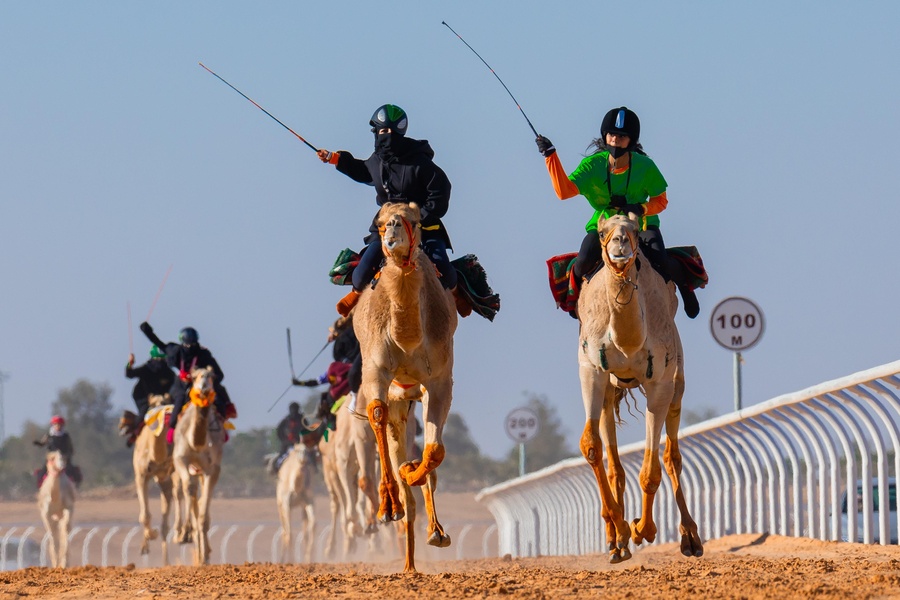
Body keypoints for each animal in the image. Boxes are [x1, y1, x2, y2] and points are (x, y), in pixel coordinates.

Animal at [171, 366, 225, 565]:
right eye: (194, 377)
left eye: (212, 376)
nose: (204, 387)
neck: (197, 442)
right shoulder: (180, 458)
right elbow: (188, 487)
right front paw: (185, 533)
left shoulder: (213, 468)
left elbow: (203, 511)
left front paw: (204, 556)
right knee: (180, 490)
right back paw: (179, 533)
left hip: (199, 470)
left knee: (198, 500)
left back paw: (204, 554)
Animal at [352, 202, 457, 573]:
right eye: (381, 222)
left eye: (414, 219)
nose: (392, 232)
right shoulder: (376, 371)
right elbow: (376, 414)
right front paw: (388, 507)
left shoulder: (439, 379)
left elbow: (434, 453)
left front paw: (412, 472)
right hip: (398, 401)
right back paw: (408, 561)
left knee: (426, 469)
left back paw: (434, 533)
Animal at [576, 213, 703, 563]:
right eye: (602, 232)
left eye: (634, 229)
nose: (620, 243)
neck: (627, 338)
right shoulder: (591, 370)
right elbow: (591, 446)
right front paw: (619, 533)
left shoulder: (659, 381)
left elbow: (652, 470)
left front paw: (641, 529)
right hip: (609, 390)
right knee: (613, 460)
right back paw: (615, 538)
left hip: (677, 381)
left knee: (672, 455)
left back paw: (690, 538)